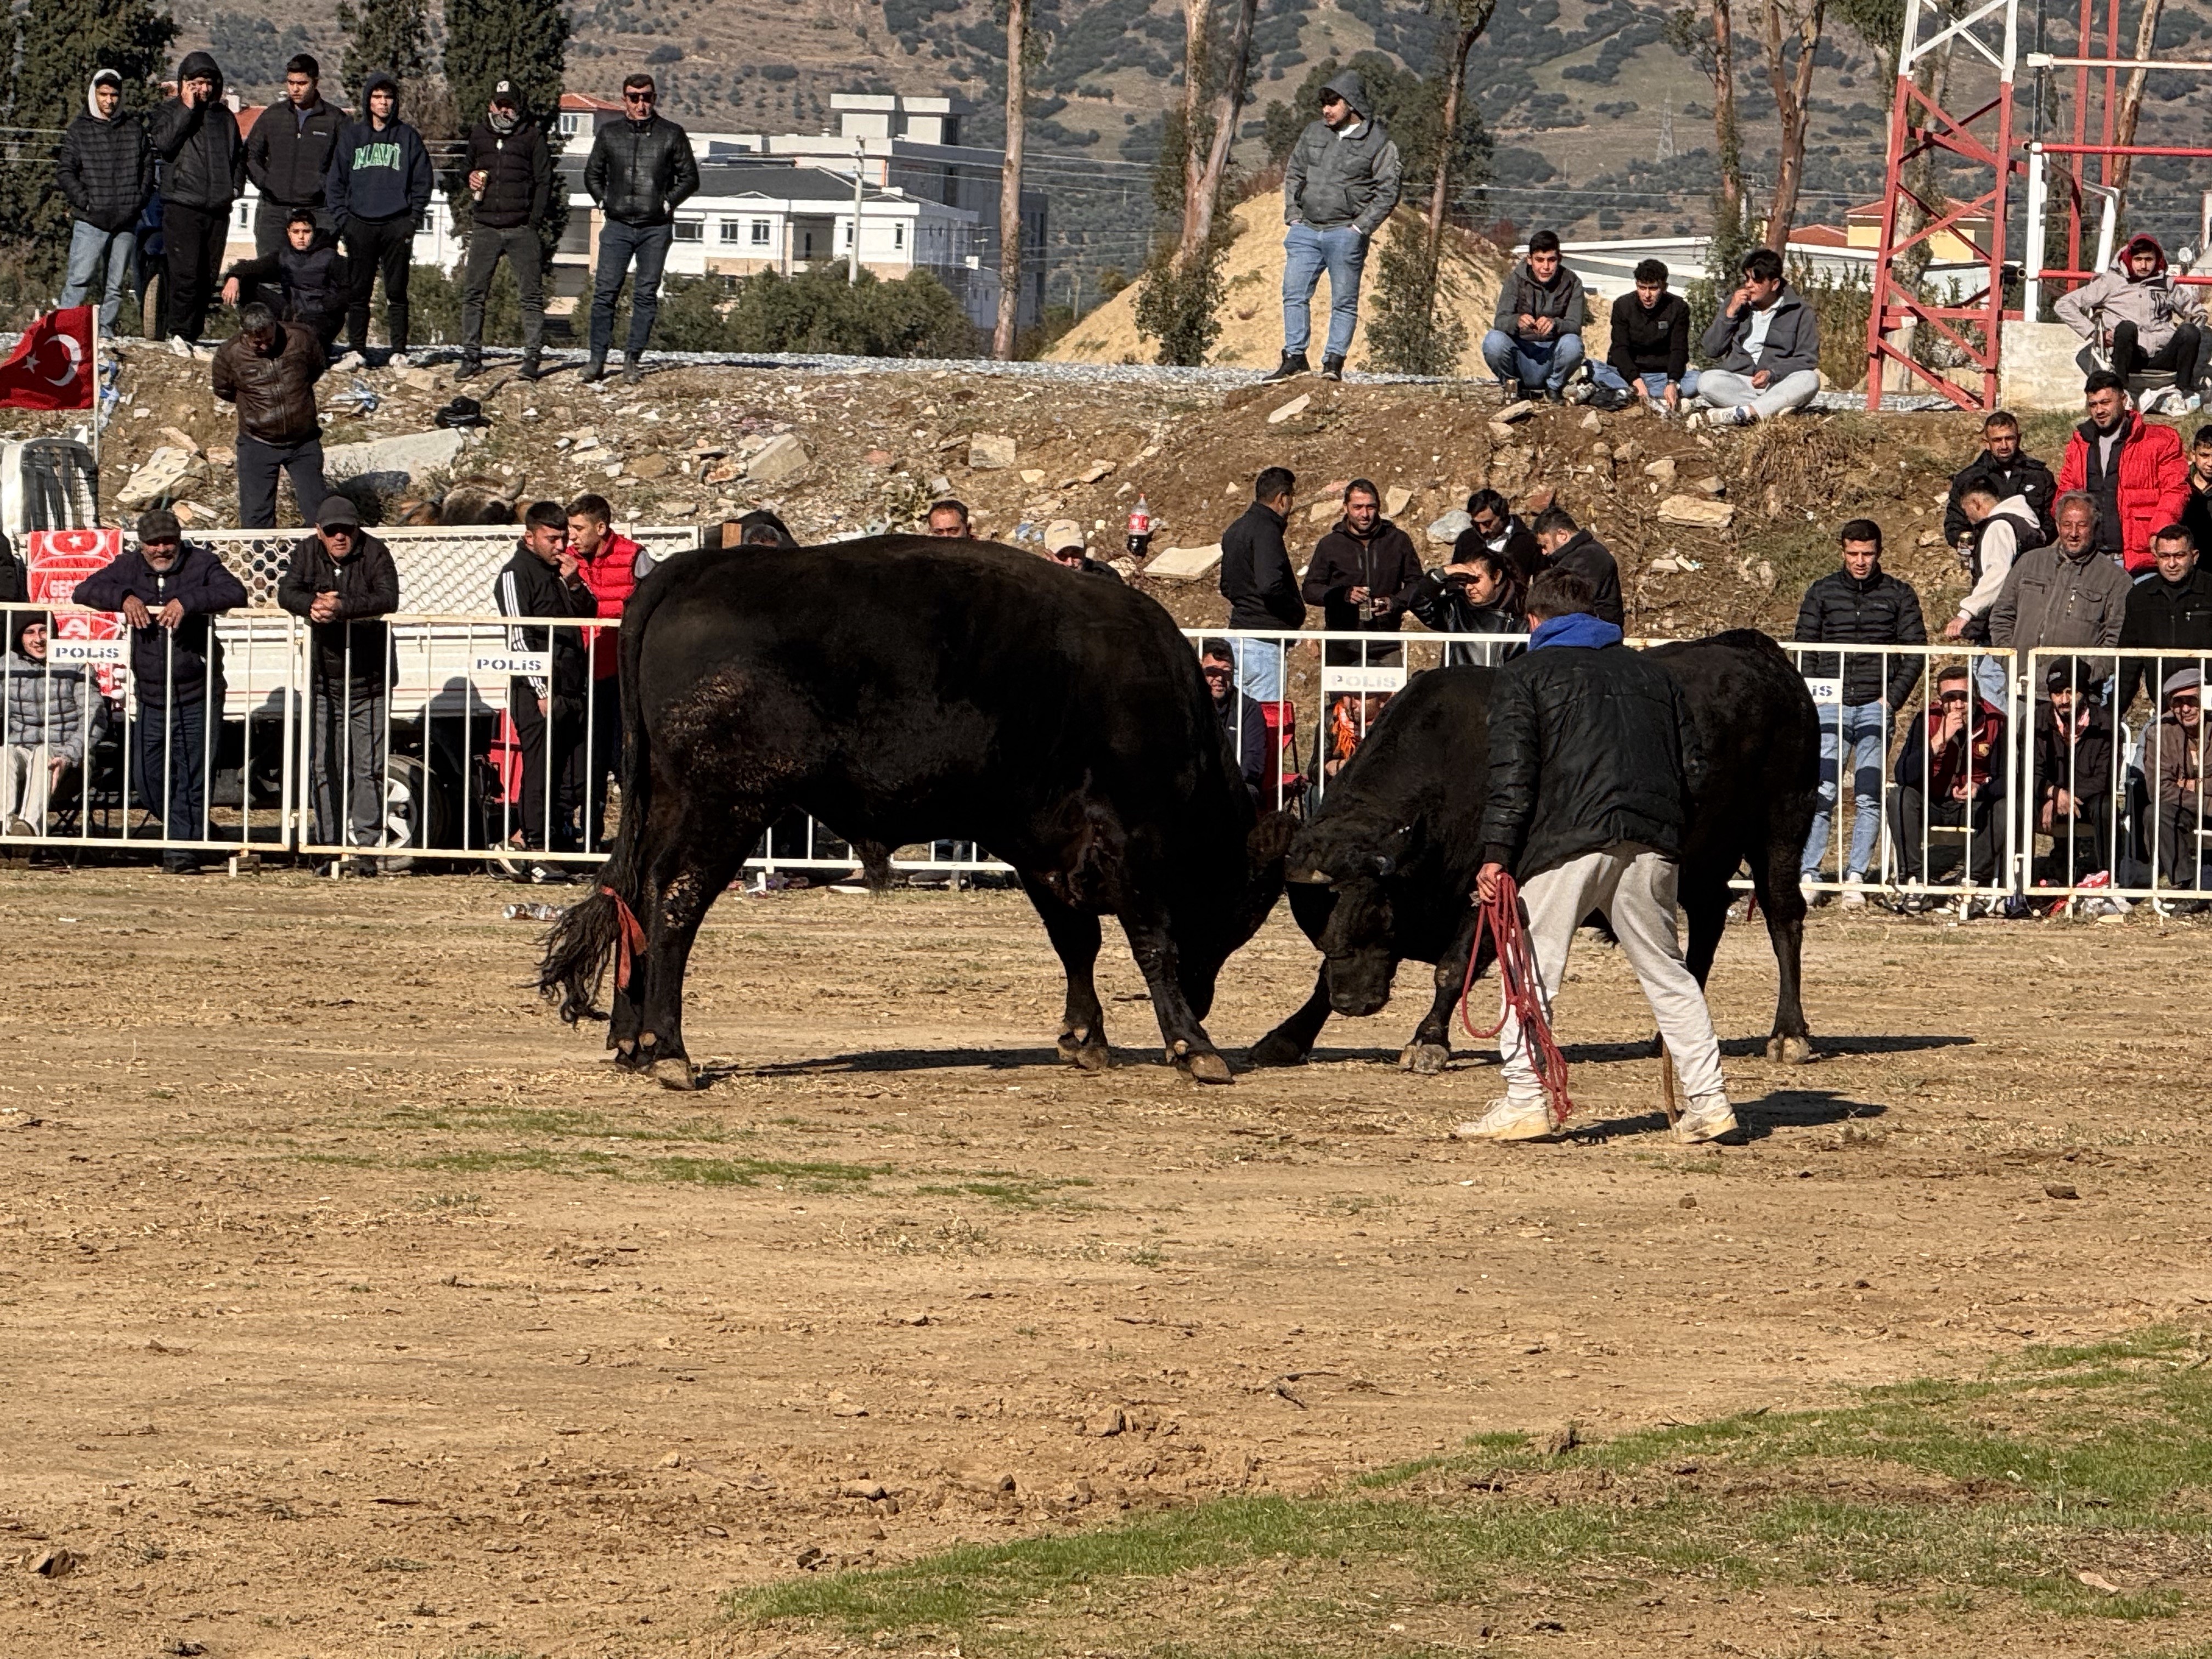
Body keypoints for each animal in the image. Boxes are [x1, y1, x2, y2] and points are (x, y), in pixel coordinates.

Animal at [539, 539, 1291, 1097]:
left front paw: (1084, 1039)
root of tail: (696, 568)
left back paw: (632, 1042)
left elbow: (1076, 943)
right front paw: (1193, 1045)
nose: (1207, 998)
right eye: (1243, 907)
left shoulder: (1045, 849)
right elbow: (1150, 943)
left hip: (669, 805)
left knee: (631, 892)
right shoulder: (1127, 844)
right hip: (725, 809)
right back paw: (670, 1050)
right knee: (674, 901)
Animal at [1256, 633, 1822, 1079]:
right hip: (1703, 860)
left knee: (1784, 916)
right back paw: (1669, 1035)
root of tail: (1760, 654)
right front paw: (1288, 1036)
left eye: (1372, 912)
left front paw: (1428, 1040)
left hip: (1782, 823)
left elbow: (1452, 968)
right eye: (1318, 923)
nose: (1353, 1003)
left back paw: (1789, 1034)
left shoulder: (1486, 890)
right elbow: (1322, 979)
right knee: (1706, 922)